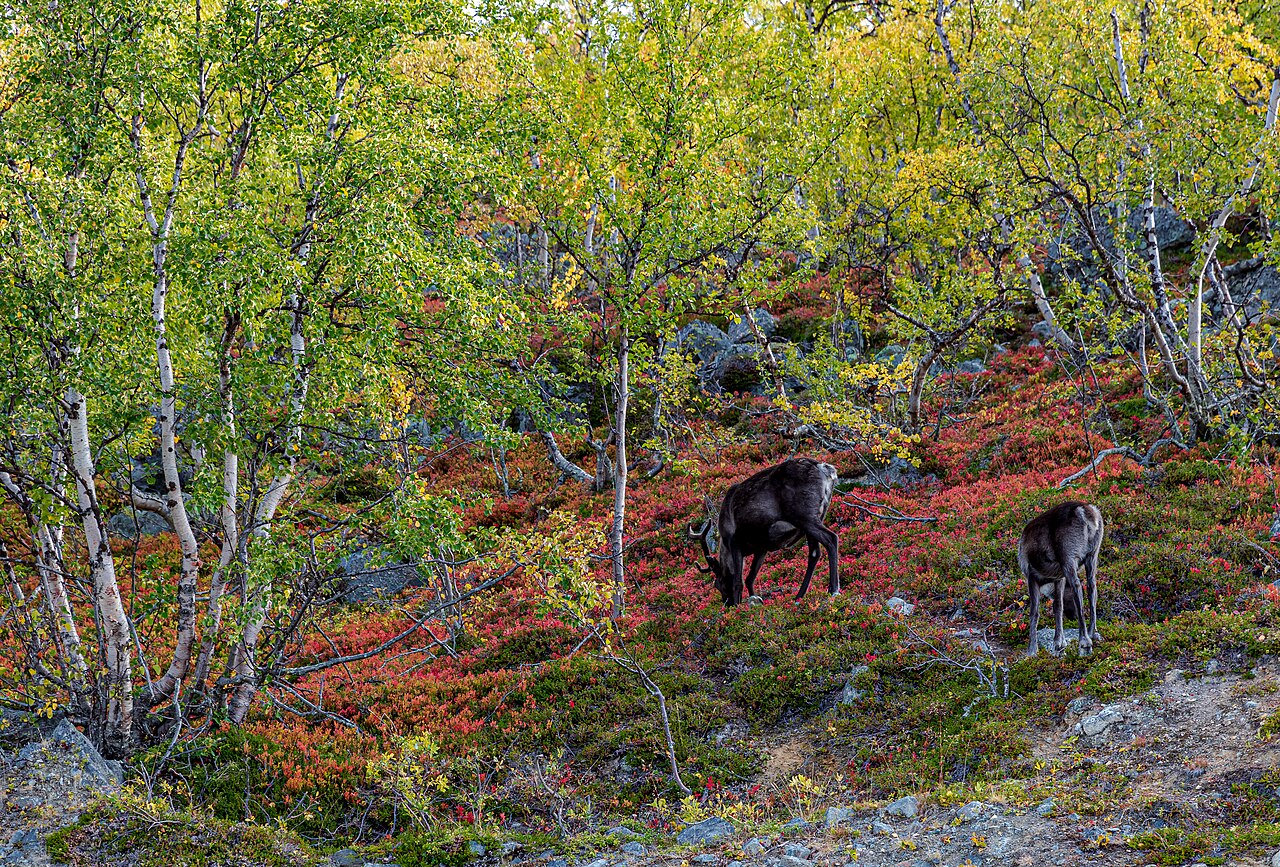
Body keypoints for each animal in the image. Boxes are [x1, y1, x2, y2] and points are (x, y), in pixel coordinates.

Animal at [689, 458, 841, 606]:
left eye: (718, 584)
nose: (728, 604)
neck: (725, 544)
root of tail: (824, 468)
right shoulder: (762, 547)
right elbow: (750, 578)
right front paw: (754, 600)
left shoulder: (735, 542)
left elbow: (738, 581)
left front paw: (738, 608)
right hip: (817, 515)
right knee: (814, 553)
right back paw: (799, 597)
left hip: (804, 515)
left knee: (831, 538)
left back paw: (833, 590)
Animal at [1019, 501, 1104, 657]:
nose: (1073, 616)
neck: (1047, 583)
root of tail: (1084, 511)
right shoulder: (1059, 578)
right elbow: (1058, 606)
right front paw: (1059, 643)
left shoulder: (1031, 575)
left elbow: (1034, 612)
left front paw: (1032, 650)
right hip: (1093, 553)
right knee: (1092, 587)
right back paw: (1093, 633)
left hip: (1068, 557)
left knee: (1078, 586)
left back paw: (1084, 642)